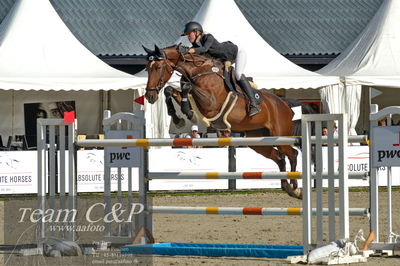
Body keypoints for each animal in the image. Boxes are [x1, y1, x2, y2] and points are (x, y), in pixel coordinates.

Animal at [144, 44, 304, 198]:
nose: (149, 96)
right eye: (147, 68)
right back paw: (287, 187)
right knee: (279, 157)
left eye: (158, 67)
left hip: (280, 135)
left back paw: (295, 189)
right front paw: (179, 118)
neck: (198, 70)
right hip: (258, 140)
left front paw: (187, 113)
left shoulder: (211, 102)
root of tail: (285, 104)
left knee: (292, 154)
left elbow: (188, 87)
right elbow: (170, 90)